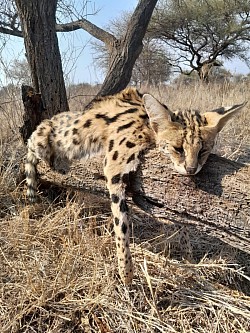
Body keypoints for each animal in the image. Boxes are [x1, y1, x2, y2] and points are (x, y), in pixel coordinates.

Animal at [25, 87, 246, 282]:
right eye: (178, 149)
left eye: (203, 151)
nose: (191, 169)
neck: (149, 128)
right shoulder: (114, 167)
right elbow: (121, 223)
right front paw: (126, 272)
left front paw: (187, 255)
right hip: (49, 140)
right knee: (31, 147)